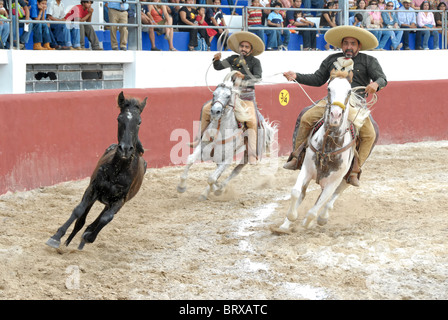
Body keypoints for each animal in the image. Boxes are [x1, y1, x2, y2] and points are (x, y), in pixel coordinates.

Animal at [47, 91, 149, 249]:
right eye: (119, 119)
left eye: (139, 122)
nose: (125, 149)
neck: (118, 171)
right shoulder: (93, 188)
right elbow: (79, 211)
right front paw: (56, 237)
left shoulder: (120, 200)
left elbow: (105, 219)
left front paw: (88, 236)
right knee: (80, 221)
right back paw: (68, 242)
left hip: (112, 203)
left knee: (100, 217)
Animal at [178, 71, 276, 200]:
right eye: (214, 94)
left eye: (228, 96)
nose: (215, 111)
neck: (220, 130)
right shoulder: (203, 146)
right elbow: (190, 160)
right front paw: (181, 187)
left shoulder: (228, 159)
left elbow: (211, 178)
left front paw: (213, 190)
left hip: (247, 154)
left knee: (235, 171)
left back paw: (218, 189)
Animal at [272, 70, 356, 231]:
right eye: (329, 89)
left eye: (349, 91)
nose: (335, 116)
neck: (328, 146)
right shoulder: (306, 169)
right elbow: (296, 192)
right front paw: (290, 218)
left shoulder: (333, 182)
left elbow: (315, 208)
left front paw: (307, 222)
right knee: (303, 194)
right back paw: (285, 225)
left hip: (347, 178)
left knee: (331, 199)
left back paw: (322, 218)